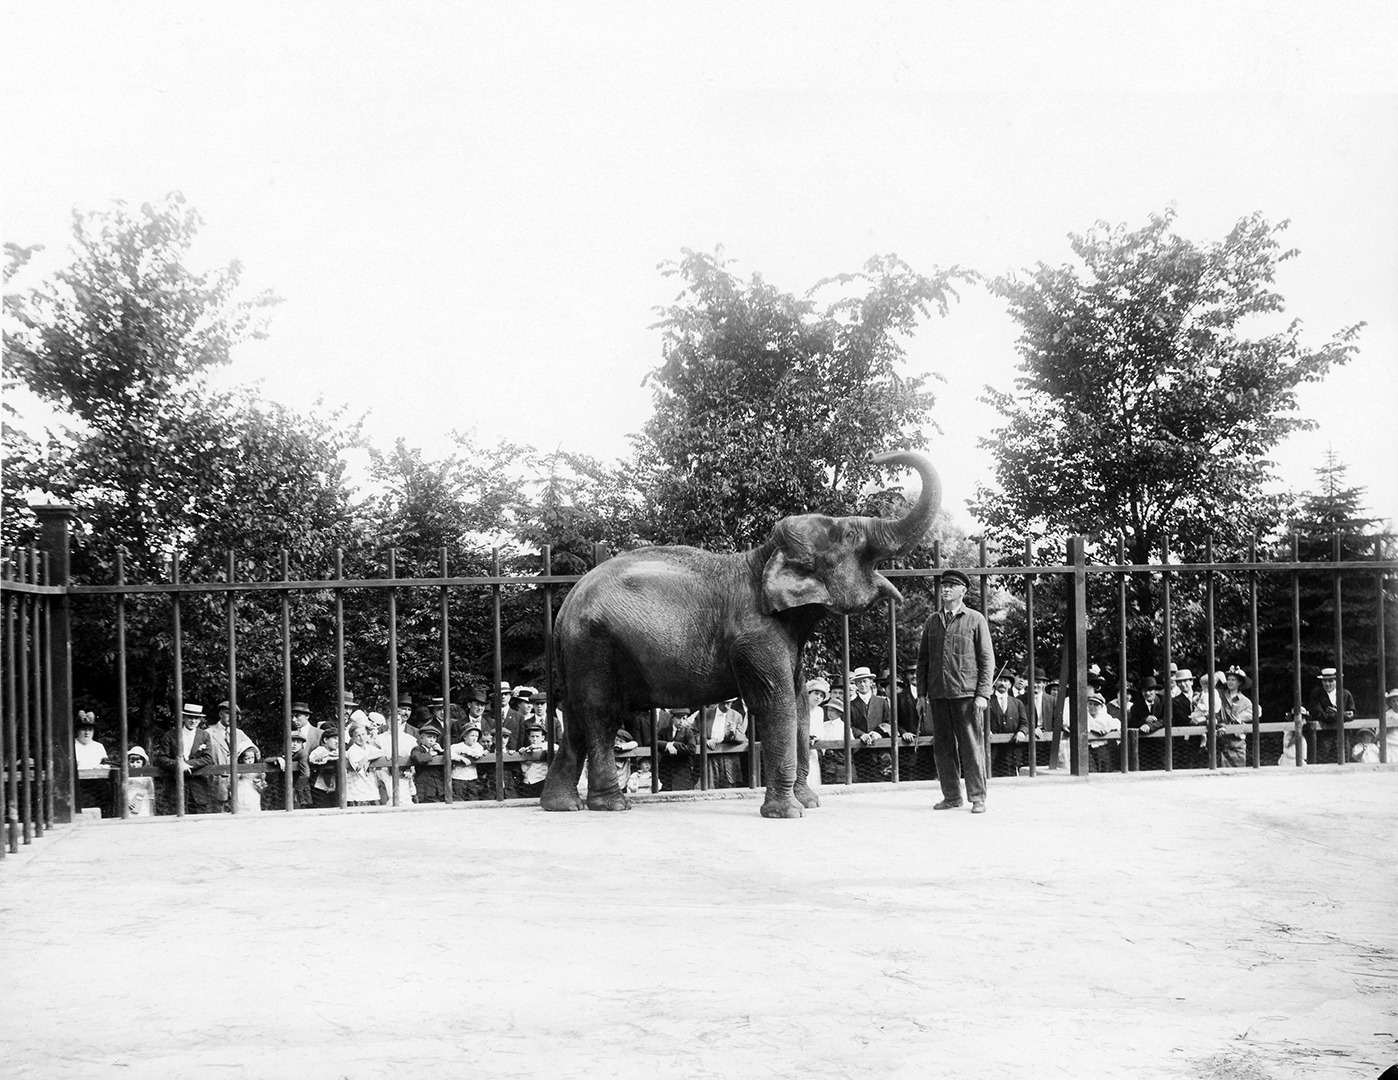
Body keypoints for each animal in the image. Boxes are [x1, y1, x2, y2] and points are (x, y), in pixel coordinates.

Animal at [539, 450, 941, 818]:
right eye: (850, 535)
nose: (880, 455)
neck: (762, 557)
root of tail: (566, 606)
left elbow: (799, 705)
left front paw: (809, 803)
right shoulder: (756, 635)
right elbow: (777, 704)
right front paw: (787, 813)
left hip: (580, 651)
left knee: (575, 717)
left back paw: (561, 806)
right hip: (593, 644)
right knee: (600, 714)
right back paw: (611, 805)